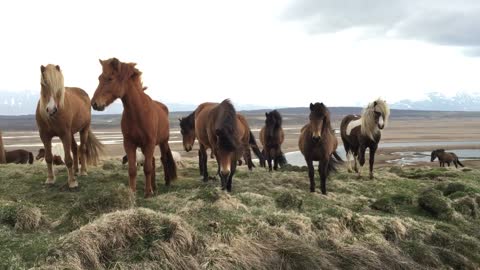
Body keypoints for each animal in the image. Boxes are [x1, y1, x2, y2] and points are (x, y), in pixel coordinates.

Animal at [91, 57, 176, 196]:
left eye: (110, 78)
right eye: (99, 78)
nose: (94, 104)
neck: (138, 112)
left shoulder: (149, 143)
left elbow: (147, 168)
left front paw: (147, 193)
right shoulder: (129, 144)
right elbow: (132, 169)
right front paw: (132, 191)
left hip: (163, 142)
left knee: (163, 160)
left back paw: (166, 183)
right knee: (153, 161)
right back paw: (154, 186)